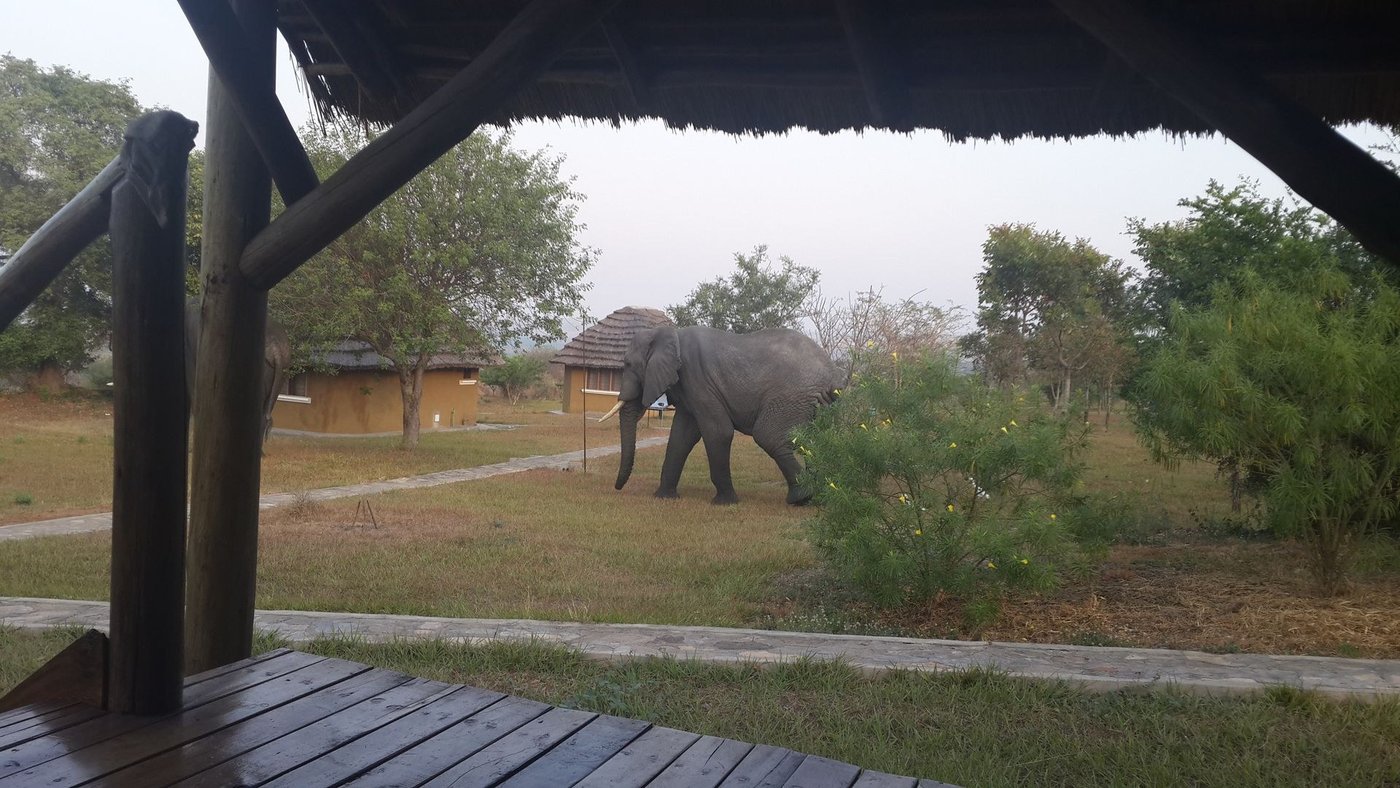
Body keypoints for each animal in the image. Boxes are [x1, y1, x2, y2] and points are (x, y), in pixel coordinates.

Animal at [606, 325, 842, 505]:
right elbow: (680, 439)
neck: (671, 333)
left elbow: (718, 433)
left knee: (769, 436)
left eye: (628, 364)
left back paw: (800, 499)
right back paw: (819, 497)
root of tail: (833, 373)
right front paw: (664, 497)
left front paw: (725, 503)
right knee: (815, 441)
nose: (617, 488)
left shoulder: (699, 380)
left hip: (791, 396)